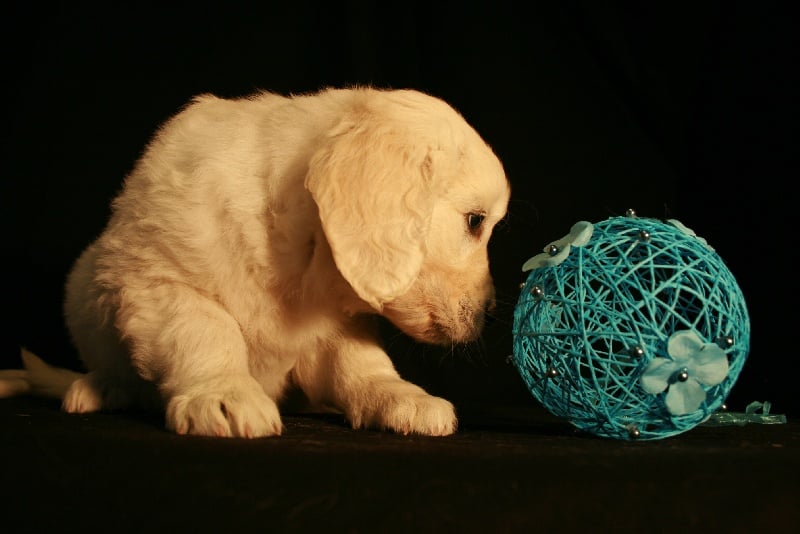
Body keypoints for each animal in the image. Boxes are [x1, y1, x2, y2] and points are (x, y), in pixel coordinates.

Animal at [1, 87, 506, 440]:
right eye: (475, 221)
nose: (491, 313)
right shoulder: (159, 281)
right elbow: (206, 329)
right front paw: (224, 392)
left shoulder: (337, 323)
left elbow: (359, 361)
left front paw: (399, 395)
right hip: (85, 287)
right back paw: (98, 388)